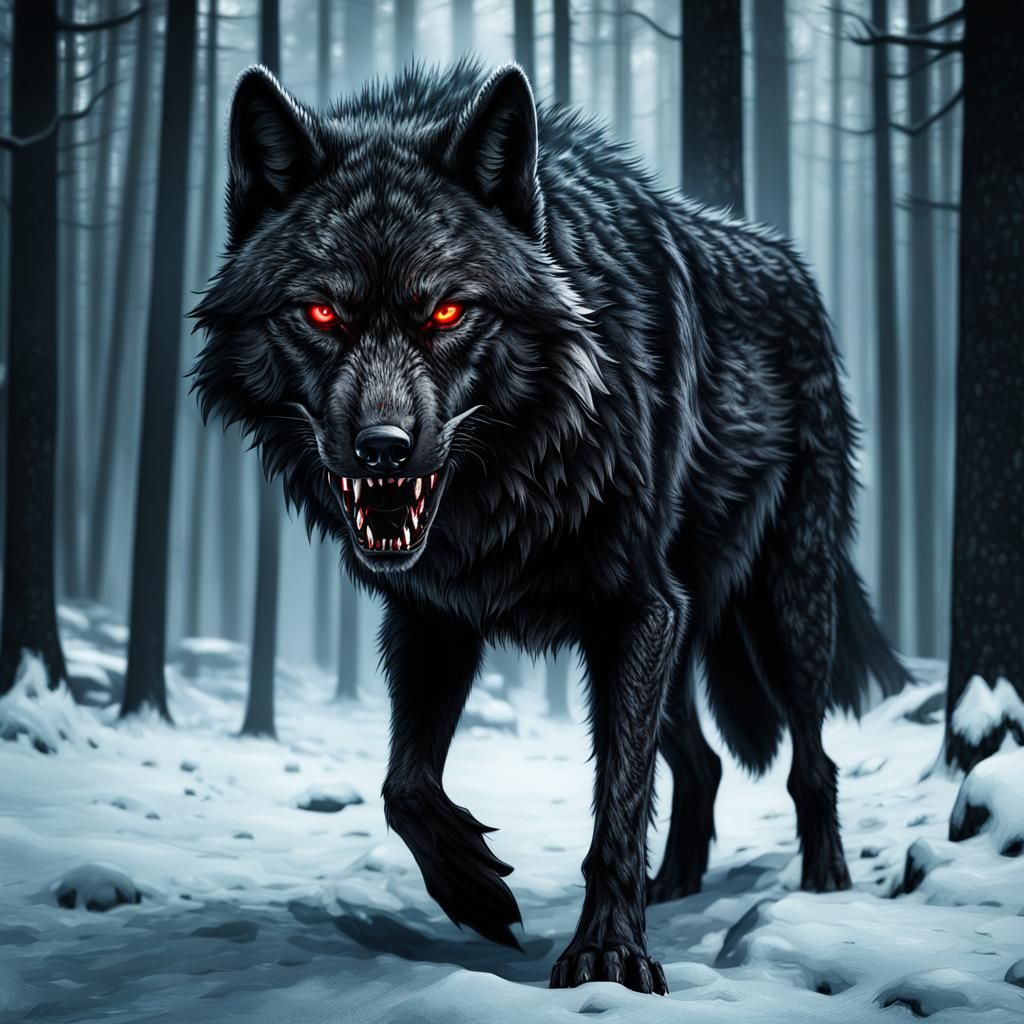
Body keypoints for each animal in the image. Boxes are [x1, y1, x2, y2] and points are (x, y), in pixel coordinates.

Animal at [192, 60, 910, 994]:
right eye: (320, 315)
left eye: (447, 313)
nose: (384, 450)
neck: (512, 481)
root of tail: (795, 266)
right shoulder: (436, 616)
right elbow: (404, 786)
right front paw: (472, 888)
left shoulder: (637, 608)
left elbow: (617, 806)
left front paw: (609, 954)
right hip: (679, 632)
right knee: (705, 762)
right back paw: (676, 885)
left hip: (780, 609)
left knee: (810, 759)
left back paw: (824, 884)